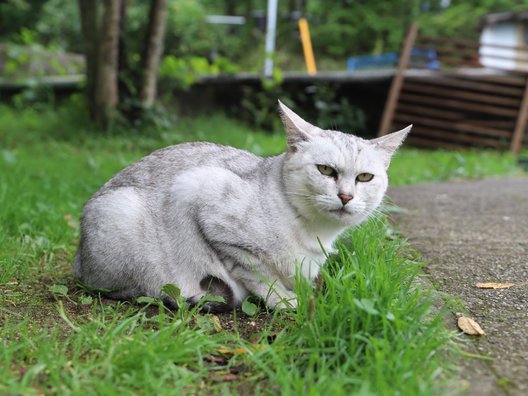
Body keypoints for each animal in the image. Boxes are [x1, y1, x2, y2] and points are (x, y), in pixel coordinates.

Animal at [73, 102, 412, 312]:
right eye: (326, 170)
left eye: (365, 177)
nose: (346, 197)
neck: (315, 232)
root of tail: (78, 261)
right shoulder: (205, 202)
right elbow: (259, 276)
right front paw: (286, 301)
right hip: (123, 214)